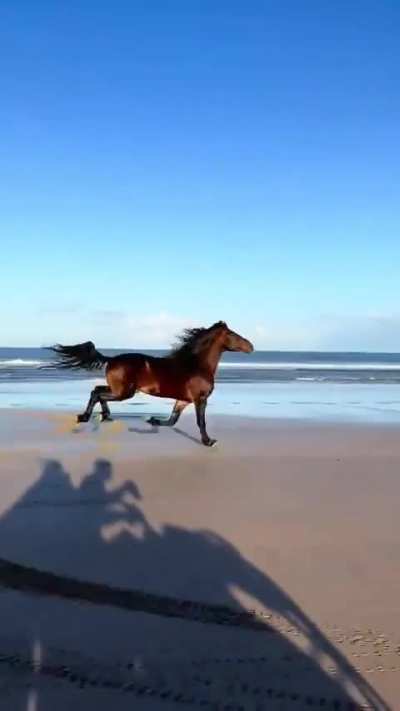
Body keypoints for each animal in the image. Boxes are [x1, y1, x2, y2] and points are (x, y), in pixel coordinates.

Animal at [48, 321, 254, 446]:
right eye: (233, 335)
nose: (251, 346)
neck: (196, 365)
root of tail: (111, 359)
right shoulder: (200, 399)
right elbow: (200, 421)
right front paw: (208, 441)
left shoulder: (183, 400)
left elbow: (172, 420)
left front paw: (152, 420)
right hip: (124, 392)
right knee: (97, 393)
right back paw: (85, 417)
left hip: (120, 390)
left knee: (97, 390)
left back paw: (105, 416)